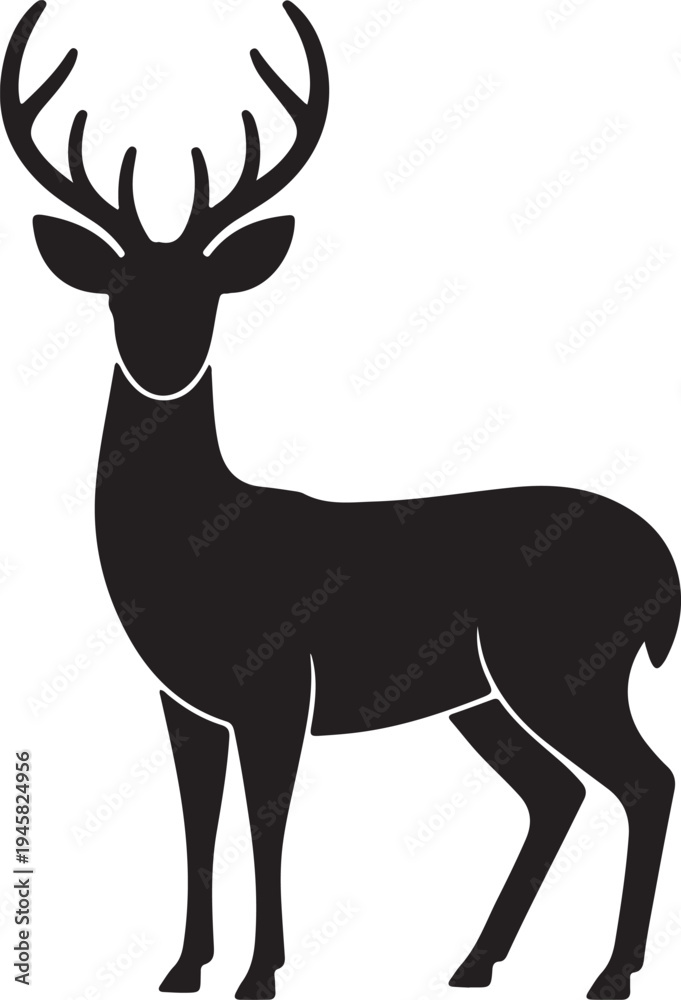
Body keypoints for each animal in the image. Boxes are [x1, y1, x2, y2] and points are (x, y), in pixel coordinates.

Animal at [2, 2, 678, 998]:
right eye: (118, 292)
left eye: (208, 292)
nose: (164, 366)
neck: (194, 549)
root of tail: (665, 565)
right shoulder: (182, 698)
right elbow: (195, 822)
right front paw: (182, 967)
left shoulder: (280, 684)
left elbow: (265, 824)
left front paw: (259, 973)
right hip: (484, 694)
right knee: (556, 793)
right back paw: (474, 962)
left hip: (565, 666)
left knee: (642, 781)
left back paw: (609, 973)